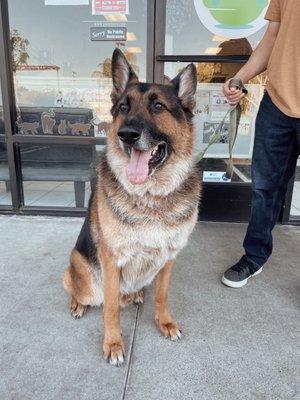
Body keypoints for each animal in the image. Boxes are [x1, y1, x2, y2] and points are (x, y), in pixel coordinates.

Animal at [62, 49, 199, 366]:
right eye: (123, 107)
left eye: (158, 107)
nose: (126, 134)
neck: (150, 196)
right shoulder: (112, 259)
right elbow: (110, 307)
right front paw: (113, 344)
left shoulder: (170, 256)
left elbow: (162, 295)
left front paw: (165, 322)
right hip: (80, 271)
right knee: (81, 291)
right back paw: (78, 304)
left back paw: (134, 294)